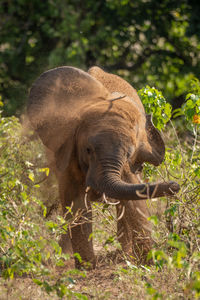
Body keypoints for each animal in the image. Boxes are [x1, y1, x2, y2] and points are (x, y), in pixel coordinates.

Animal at [27, 66, 180, 270]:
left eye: (129, 153)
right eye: (88, 150)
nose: (175, 186)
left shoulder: (128, 166)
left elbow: (134, 200)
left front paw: (147, 264)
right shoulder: (68, 149)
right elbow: (76, 202)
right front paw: (87, 268)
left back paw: (126, 256)